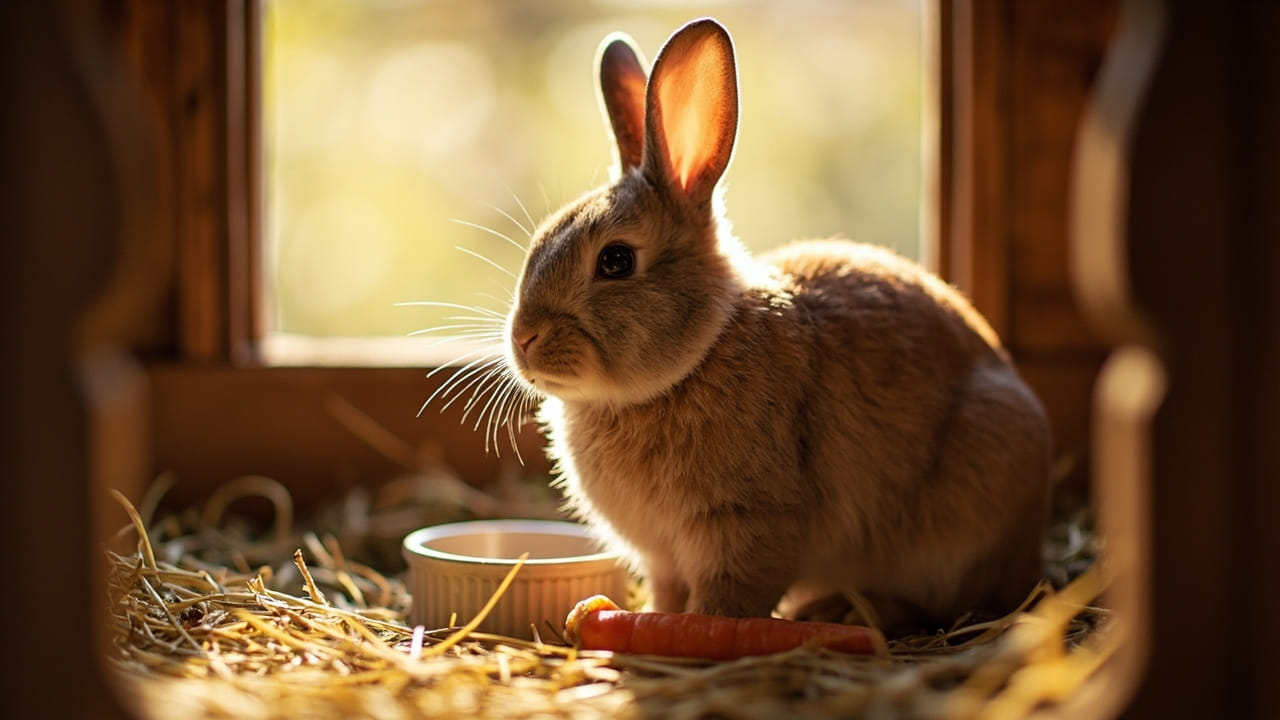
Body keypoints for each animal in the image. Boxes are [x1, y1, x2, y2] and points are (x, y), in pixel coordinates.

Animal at [491, 17, 1051, 634]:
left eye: (616, 261)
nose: (523, 340)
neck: (694, 359)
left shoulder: (749, 523)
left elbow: (728, 596)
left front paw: (694, 628)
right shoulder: (663, 555)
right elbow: (668, 591)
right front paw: (628, 615)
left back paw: (841, 611)